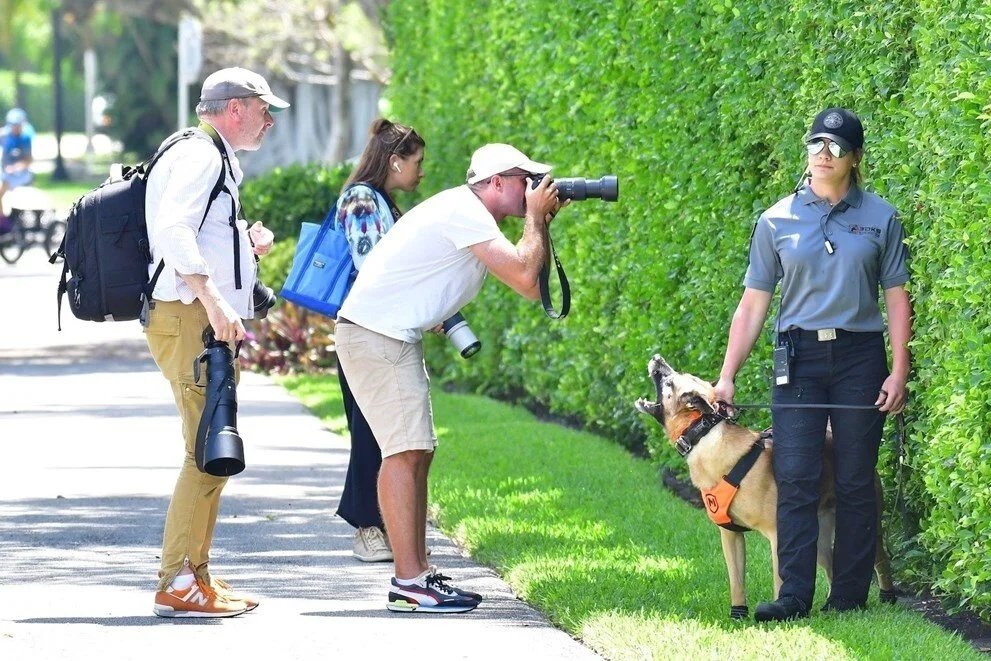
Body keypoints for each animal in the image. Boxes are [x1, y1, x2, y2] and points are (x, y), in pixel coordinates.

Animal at [636, 354, 900, 616]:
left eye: (669, 381)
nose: (656, 357)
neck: (705, 436)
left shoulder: (778, 536)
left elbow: (780, 580)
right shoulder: (730, 535)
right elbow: (737, 583)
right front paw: (738, 615)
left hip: (872, 526)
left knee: (881, 561)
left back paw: (886, 596)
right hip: (821, 540)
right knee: (832, 568)